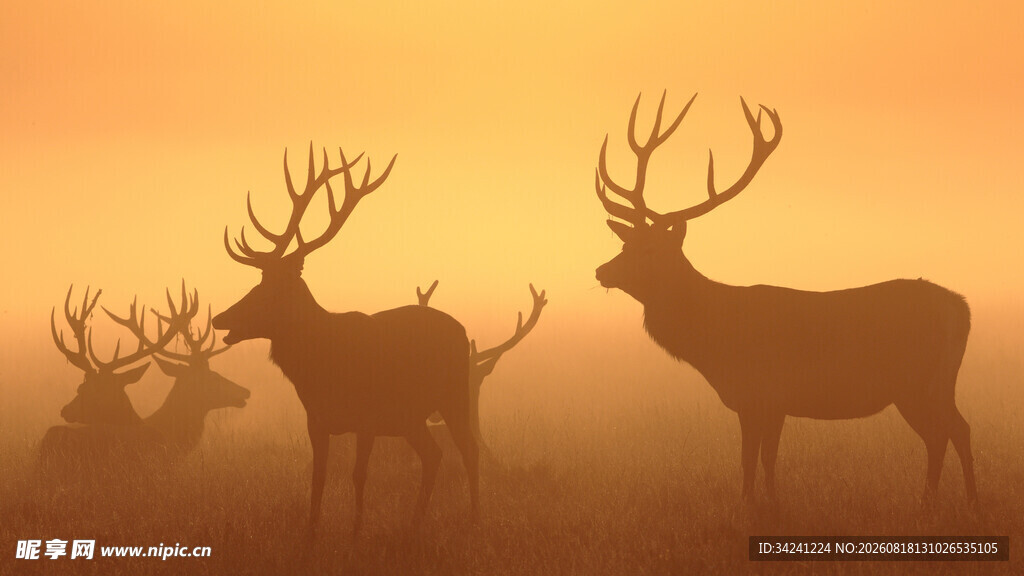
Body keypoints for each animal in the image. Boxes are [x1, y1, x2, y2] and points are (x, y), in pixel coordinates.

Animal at [212, 145, 479, 535]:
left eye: (270, 289)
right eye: (258, 282)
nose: (219, 318)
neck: (323, 366)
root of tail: (463, 331)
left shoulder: (367, 418)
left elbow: (358, 475)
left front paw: (355, 532)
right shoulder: (316, 420)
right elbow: (318, 478)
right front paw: (310, 533)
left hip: (455, 395)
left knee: (468, 452)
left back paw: (476, 517)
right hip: (411, 418)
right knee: (435, 454)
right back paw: (414, 524)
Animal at [593, 92, 975, 506]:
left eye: (650, 249)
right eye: (626, 243)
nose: (601, 271)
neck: (714, 340)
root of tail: (963, 309)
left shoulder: (759, 394)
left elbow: (751, 460)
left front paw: (752, 505)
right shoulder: (771, 404)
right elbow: (766, 460)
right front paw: (771, 502)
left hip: (916, 381)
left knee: (947, 432)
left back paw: (941, 500)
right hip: (936, 383)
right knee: (956, 429)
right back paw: (956, 499)